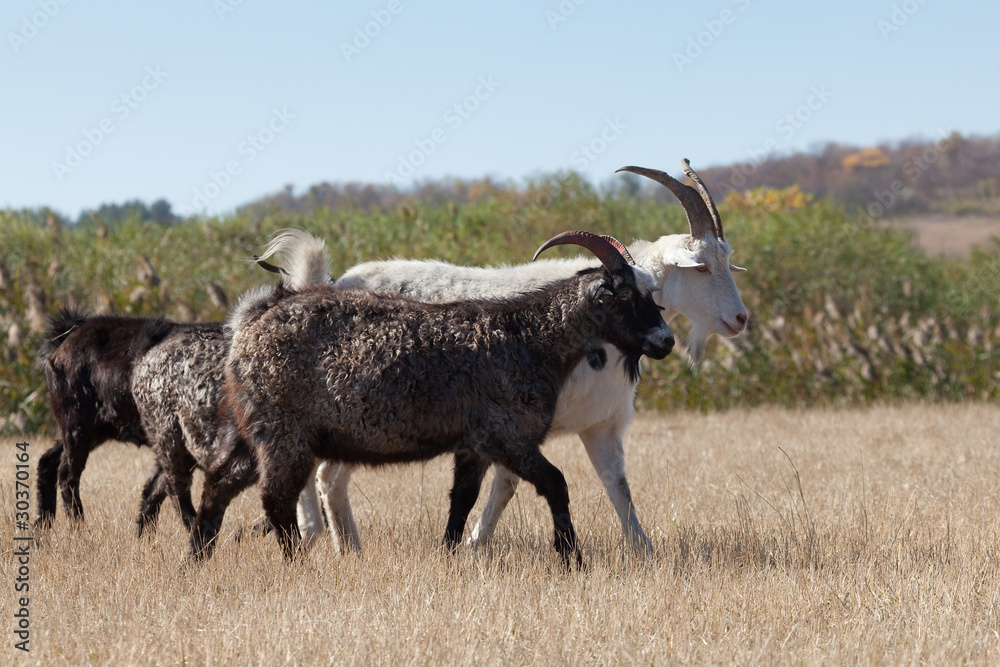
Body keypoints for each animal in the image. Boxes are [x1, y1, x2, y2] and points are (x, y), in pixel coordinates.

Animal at [190, 231, 674, 565]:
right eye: (624, 294)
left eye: (653, 295)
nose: (665, 340)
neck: (529, 336)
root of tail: (253, 318)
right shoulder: (507, 436)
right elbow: (556, 483)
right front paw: (572, 557)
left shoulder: (473, 446)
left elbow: (461, 501)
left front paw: (449, 556)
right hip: (283, 434)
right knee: (274, 497)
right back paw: (294, 565)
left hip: (253, 431)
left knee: (218, 485)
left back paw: (195, 560)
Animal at [302, 159, 748, 554]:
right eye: (702, 267)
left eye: (727, 261)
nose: (740, 318)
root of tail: (334, 283)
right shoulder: (513, 427)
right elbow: (508, 485)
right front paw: (474, 544)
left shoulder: (600, 425)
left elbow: (618, 487)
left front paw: (644, 552)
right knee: (327, 474)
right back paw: (330, 541)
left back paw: (336, 543)